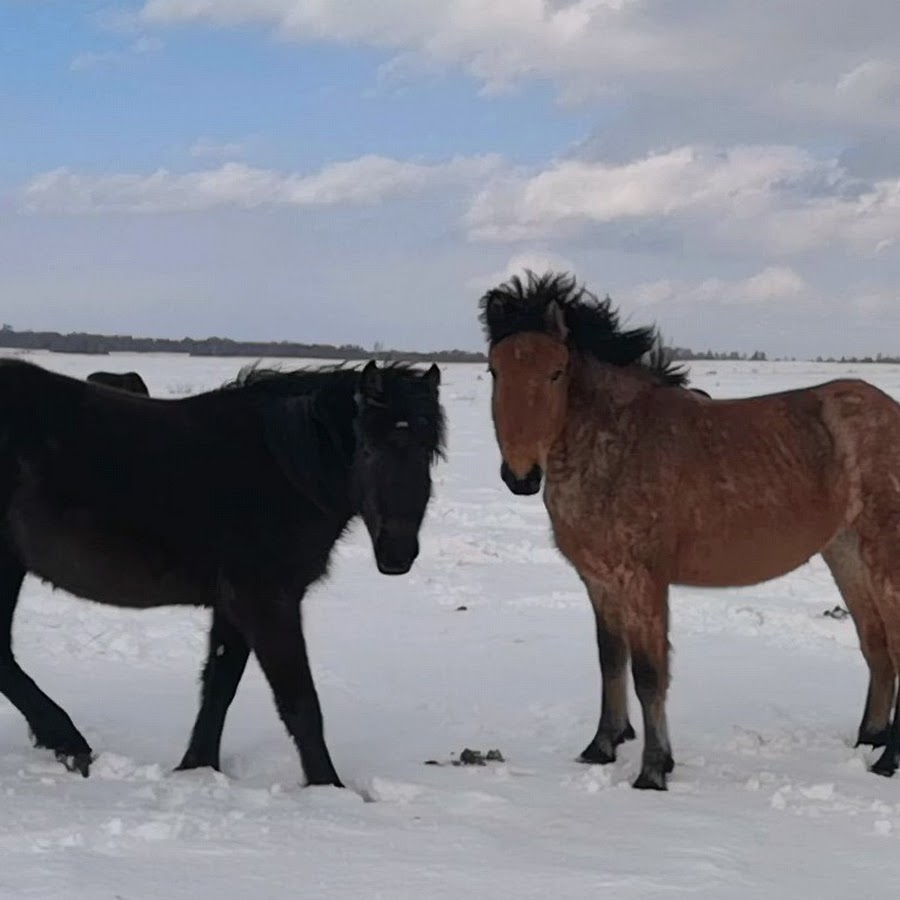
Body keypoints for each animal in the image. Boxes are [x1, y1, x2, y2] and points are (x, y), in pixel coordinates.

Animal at [0, 356, 444, 784]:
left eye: (427, 453)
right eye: (367, 449)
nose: (397, 554)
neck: (283, 470)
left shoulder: (233, 605)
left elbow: (219, 684)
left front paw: (197, 768)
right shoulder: (266, 600)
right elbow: (299, 701)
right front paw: (329, 788)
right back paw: (68, 742)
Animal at [482, 270, 900, 792]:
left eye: (556, 372)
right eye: (494, 371)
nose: (521, 475)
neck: (618, 444)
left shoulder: (642, 580)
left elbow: (648, 674)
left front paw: (653, 769)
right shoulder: (598, 581)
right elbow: (609, 660)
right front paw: (601, 747)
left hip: (883, 558)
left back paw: (888, 761)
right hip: (846, 555)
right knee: (876, 646)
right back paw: (871, 739)